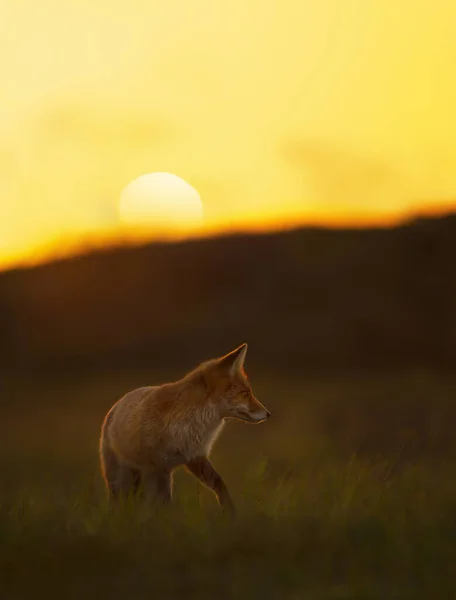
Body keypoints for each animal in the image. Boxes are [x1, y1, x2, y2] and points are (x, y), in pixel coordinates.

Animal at [99, 344, 270, 512]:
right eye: (245, 393)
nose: (268, 414)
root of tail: (116, 405)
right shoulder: (155, 467)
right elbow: (157, 502)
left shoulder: (194, 456)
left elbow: (220, 485)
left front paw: (230, 511)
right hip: (121, 477)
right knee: (120, 499)